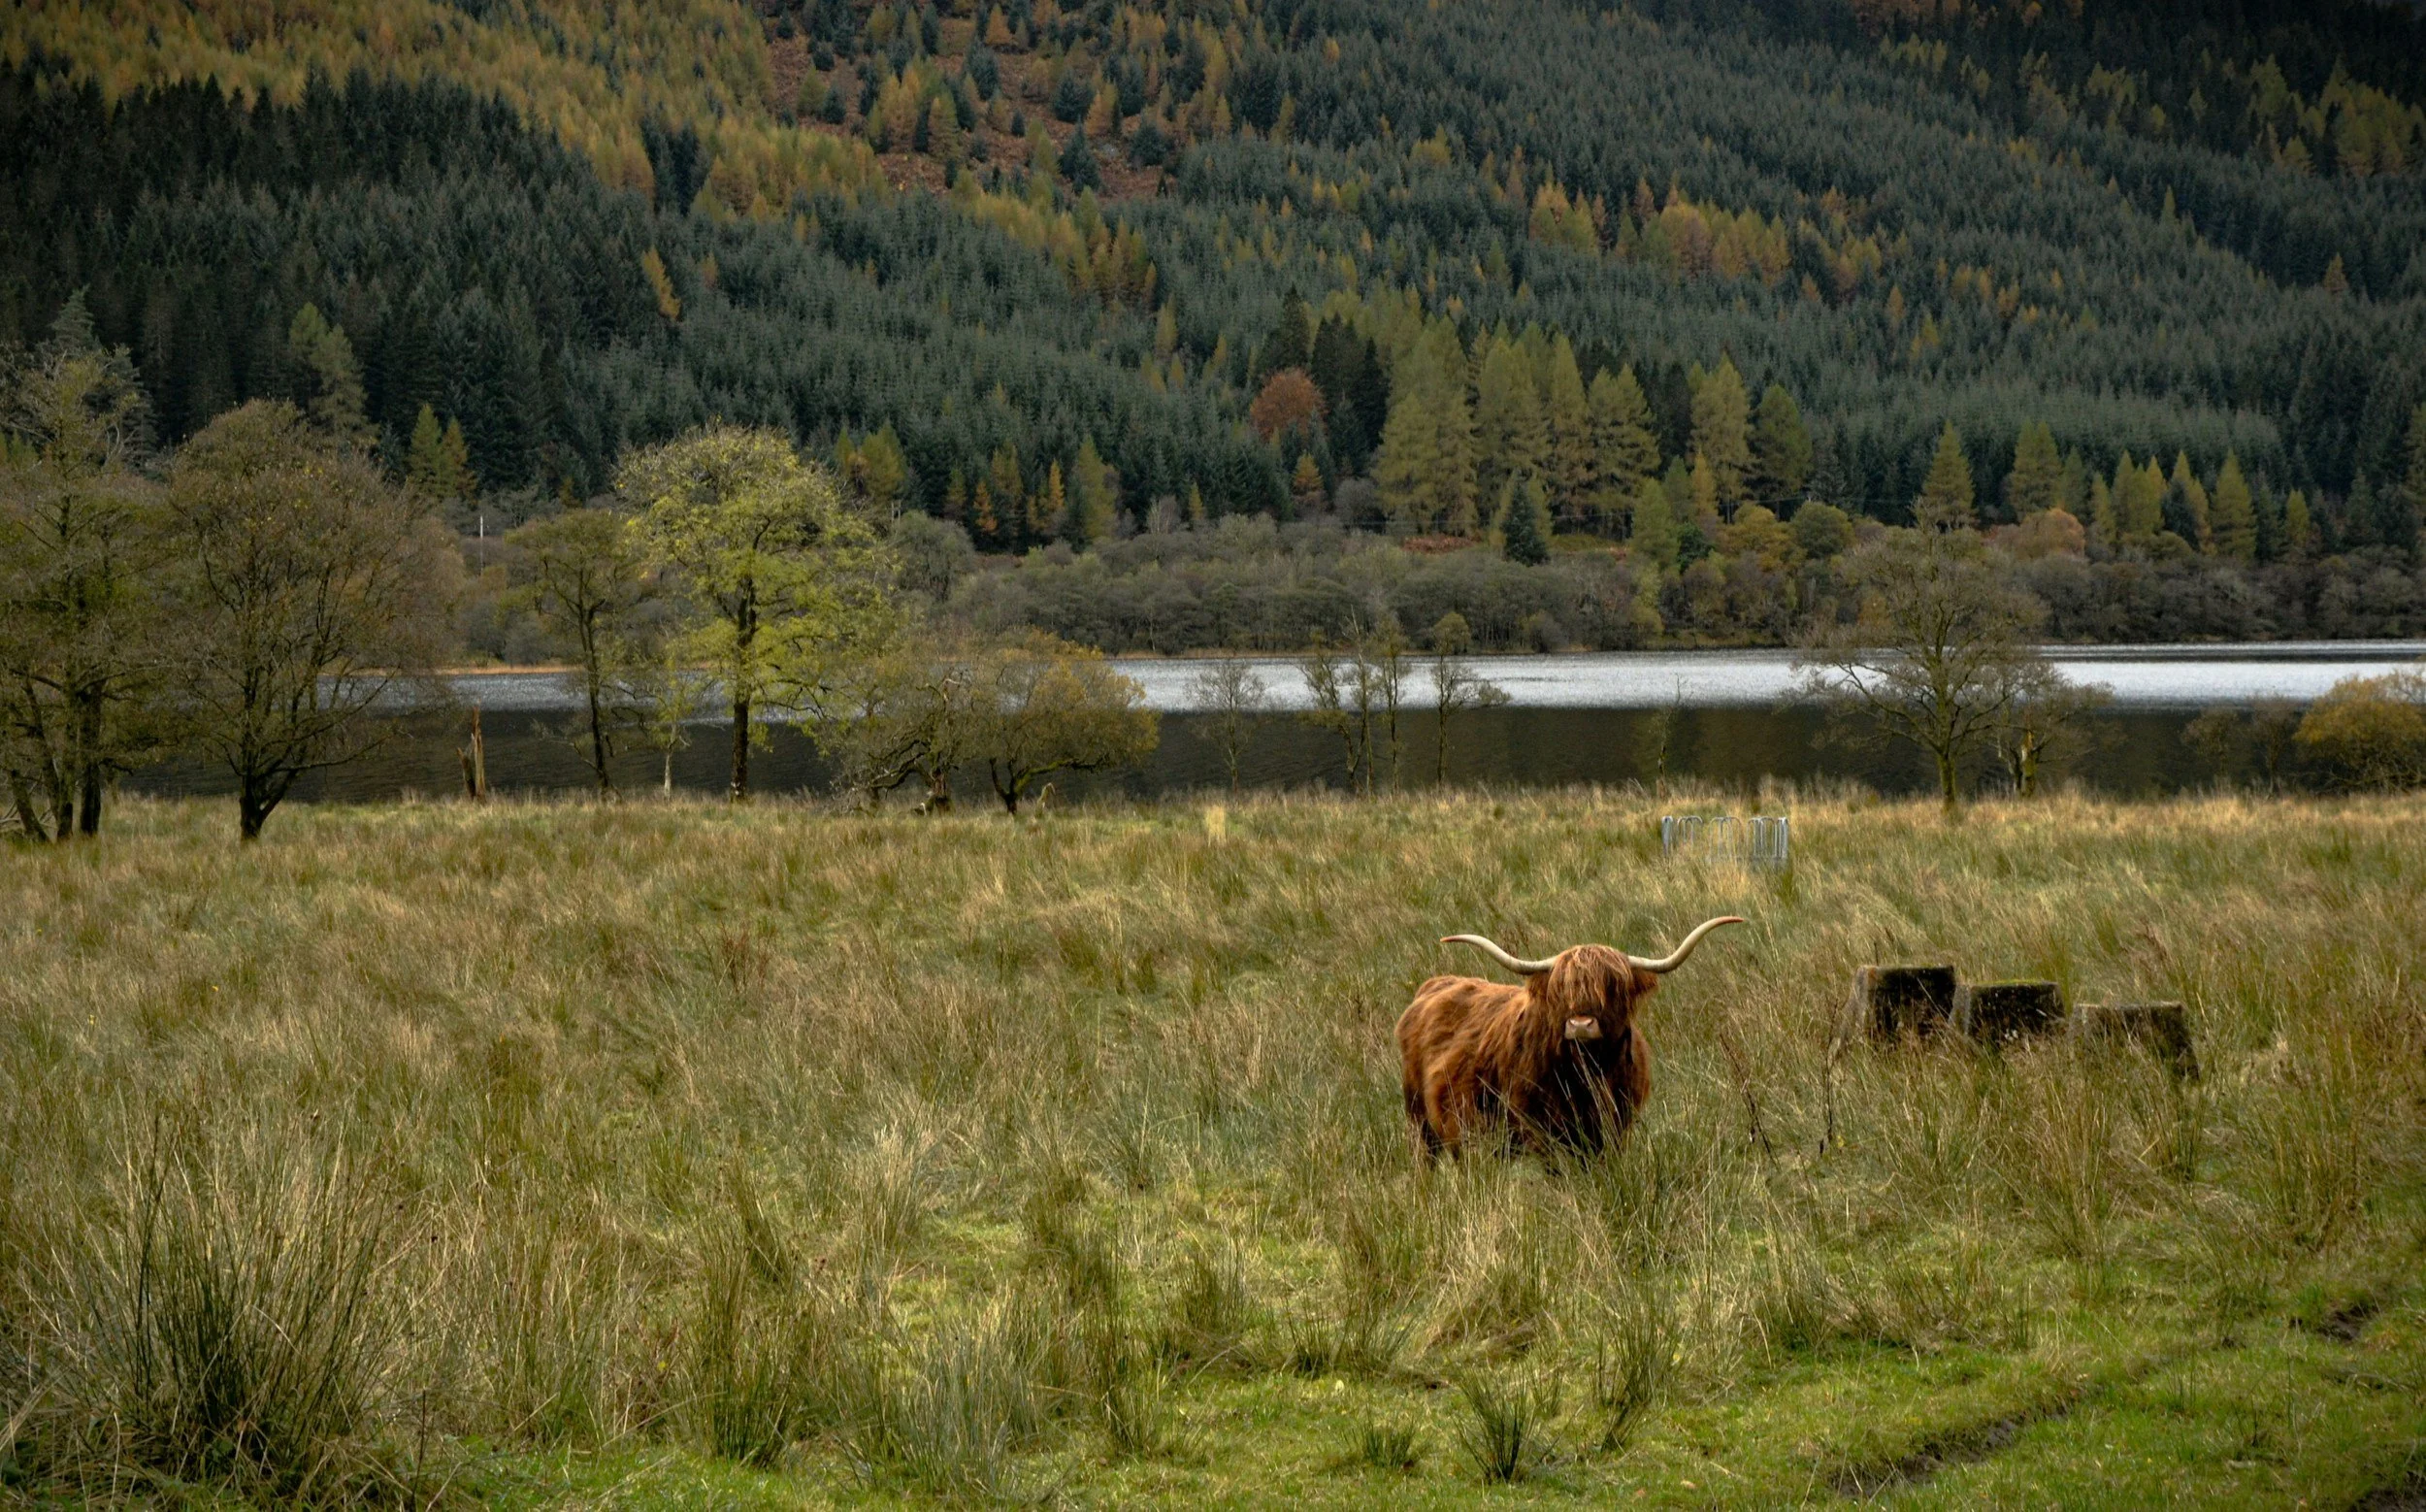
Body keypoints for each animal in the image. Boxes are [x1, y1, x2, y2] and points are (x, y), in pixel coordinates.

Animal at [1396, 916, 1745, 1158]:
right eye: (1561, 990)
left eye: (1612, 987)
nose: (1581, 1024)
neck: (1590, 1072)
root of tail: (1434, 985)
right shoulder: (1541, 1129)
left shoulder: (1615, 1129)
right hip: (1421, 1120)